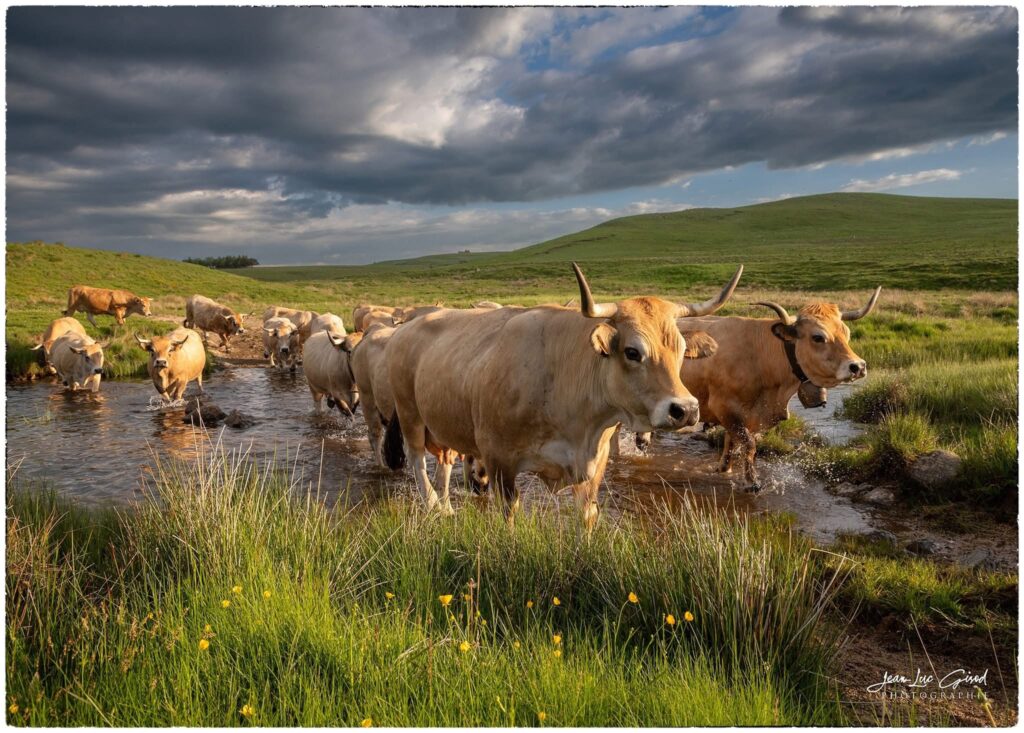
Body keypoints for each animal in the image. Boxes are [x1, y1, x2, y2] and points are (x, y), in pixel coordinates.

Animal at [382, 263, 742, 525]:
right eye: (632, 352)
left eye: (680, 350)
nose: (686, 409)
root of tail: (408, 326)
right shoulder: (498, 459)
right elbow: (508, 514)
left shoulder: (594, 463)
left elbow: (587, 515)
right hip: (410, 414)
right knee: (417, 461)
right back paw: (431, 504)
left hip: (441, 424)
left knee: (443, 464)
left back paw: (445, 508)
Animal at [642, 288, 880, 492]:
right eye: (818, 337)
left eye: (847, 333)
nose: (858, 366)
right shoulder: (724, 408)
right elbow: (749, 444)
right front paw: (751, 482)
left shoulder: (745, 417)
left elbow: (732, 443)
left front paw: (724, 469)